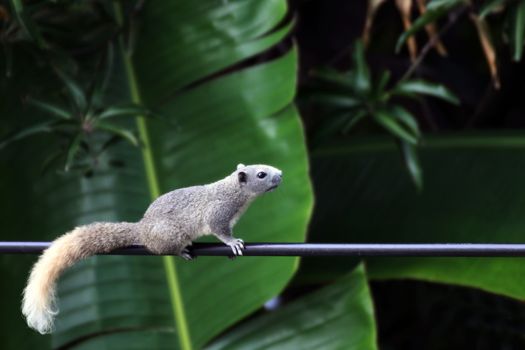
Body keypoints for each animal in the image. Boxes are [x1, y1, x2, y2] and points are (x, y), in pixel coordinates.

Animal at [21, 163, 282, 334]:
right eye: (261, 174)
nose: (280, 174)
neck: (234, 192)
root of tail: (143, 230)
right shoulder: (218, 213)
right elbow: (221, 232)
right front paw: (232, 243)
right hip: (170, 235)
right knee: (165, 248)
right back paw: (181, 250)